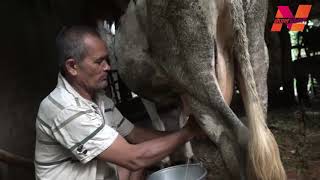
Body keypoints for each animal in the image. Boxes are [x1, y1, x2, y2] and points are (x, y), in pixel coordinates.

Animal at [109, 0, 286, 178]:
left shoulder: (147, 95)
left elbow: (157, 122)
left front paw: (165, 161)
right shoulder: (181, 93)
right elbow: (181, 120)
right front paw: (188, 156)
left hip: (193, 66)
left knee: (234, 135)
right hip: (255, 48)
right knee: (260, 125)